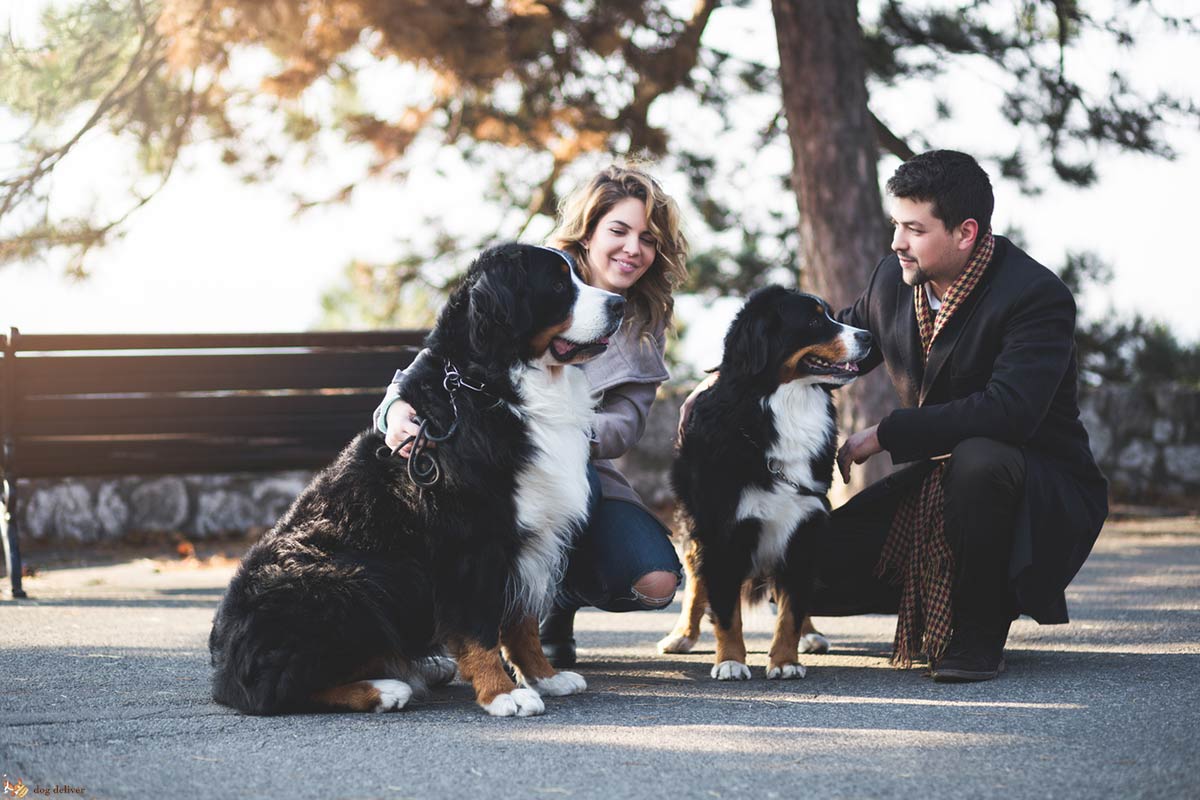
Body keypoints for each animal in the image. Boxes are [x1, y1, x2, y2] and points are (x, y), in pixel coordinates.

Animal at [210, 244, 628, 719]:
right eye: (558, 284)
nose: (620, 304)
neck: (489, 388)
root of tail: (225, 669)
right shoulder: (472, 542)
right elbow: (481, 627)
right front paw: (502, 693)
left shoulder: (526, 538)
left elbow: (522, 623)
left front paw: (545, 677)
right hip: (348, 581)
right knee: (276, 691)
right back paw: (384, 688)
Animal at [662, 284, 868, 681]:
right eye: (814, 321)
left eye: (831, 314)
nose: (868, 336)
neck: (779, 406)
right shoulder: (724, 530)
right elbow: (727, 610)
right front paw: (730, 661)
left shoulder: (804, 525)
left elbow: (791, 609)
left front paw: (786, 661)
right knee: (695, 579)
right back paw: (682, 635)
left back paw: (811, 635)